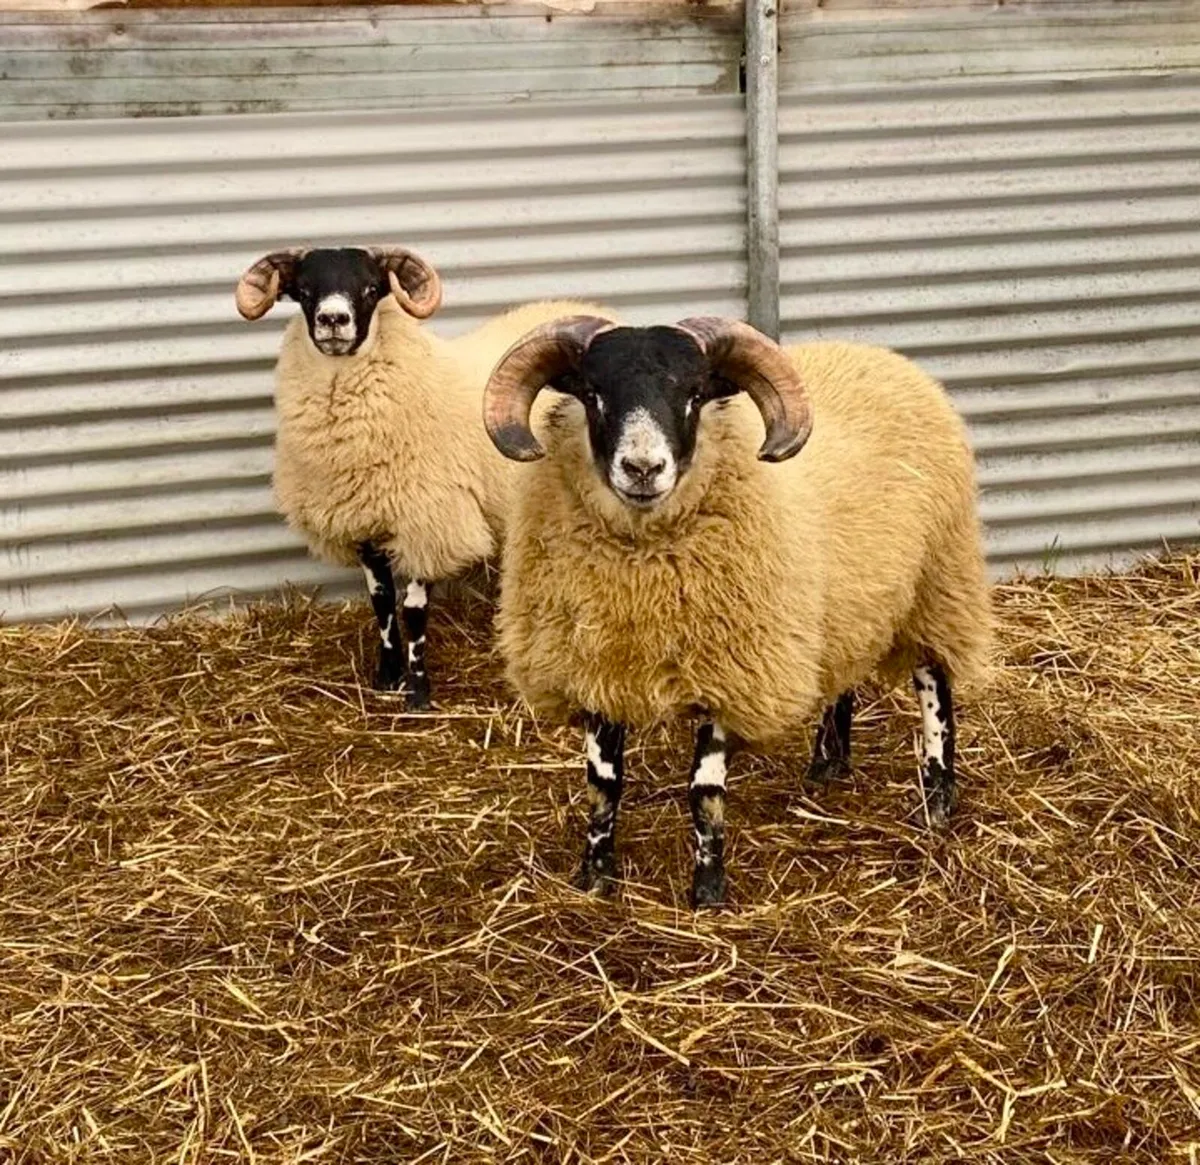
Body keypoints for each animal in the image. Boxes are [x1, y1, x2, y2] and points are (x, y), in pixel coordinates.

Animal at [235, 244, 612, 708]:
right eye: (304, 291)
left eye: (371, 288)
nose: (333, 320)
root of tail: (598, 313)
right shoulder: (366, 525)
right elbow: (381, 603)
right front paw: (386, 677)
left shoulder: (429, 521)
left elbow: (413, 612)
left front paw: (417, 694)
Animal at [482, 314, 993, 906]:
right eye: (592, 393)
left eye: (694, 393)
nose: (642, 468)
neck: (643, 569)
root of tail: (882, 356)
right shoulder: (598, 668)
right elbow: (603, 784)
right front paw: (595, 878)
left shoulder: (732, 673)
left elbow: (704, 790)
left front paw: (707, 891)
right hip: (843, 599)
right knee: (842, 675)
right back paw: (828, 765)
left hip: (938, 581)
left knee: (935, 687)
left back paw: (936, 801)